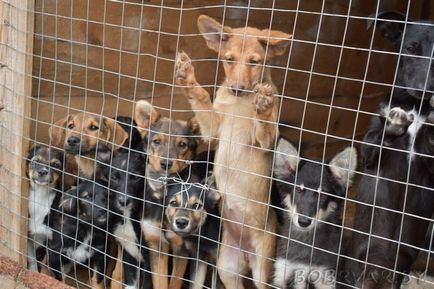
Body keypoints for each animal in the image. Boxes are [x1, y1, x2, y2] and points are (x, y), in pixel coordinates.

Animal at [134, 99, 200, 289]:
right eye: (156, 141)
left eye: (182, 144)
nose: (166, 164)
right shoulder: (156, 244)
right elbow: (160, 282)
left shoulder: (181, 247)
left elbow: (174, 282)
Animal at [174, 15, 292, 288]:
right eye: (229, 59)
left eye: (254, 62)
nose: (237, 87)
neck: (239, 102)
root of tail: (246, 253)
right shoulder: (213, 129)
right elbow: (202, 98)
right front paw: (188, 78)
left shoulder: (265, 140)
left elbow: (265, 125)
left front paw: (264, 105)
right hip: (226, 268)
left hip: (263, 269)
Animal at [346, 11, 434, 288]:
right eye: (410, 48)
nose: (426, 90)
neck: (417, 106)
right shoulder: (370, 155)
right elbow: (377, 139)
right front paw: (394, 125)